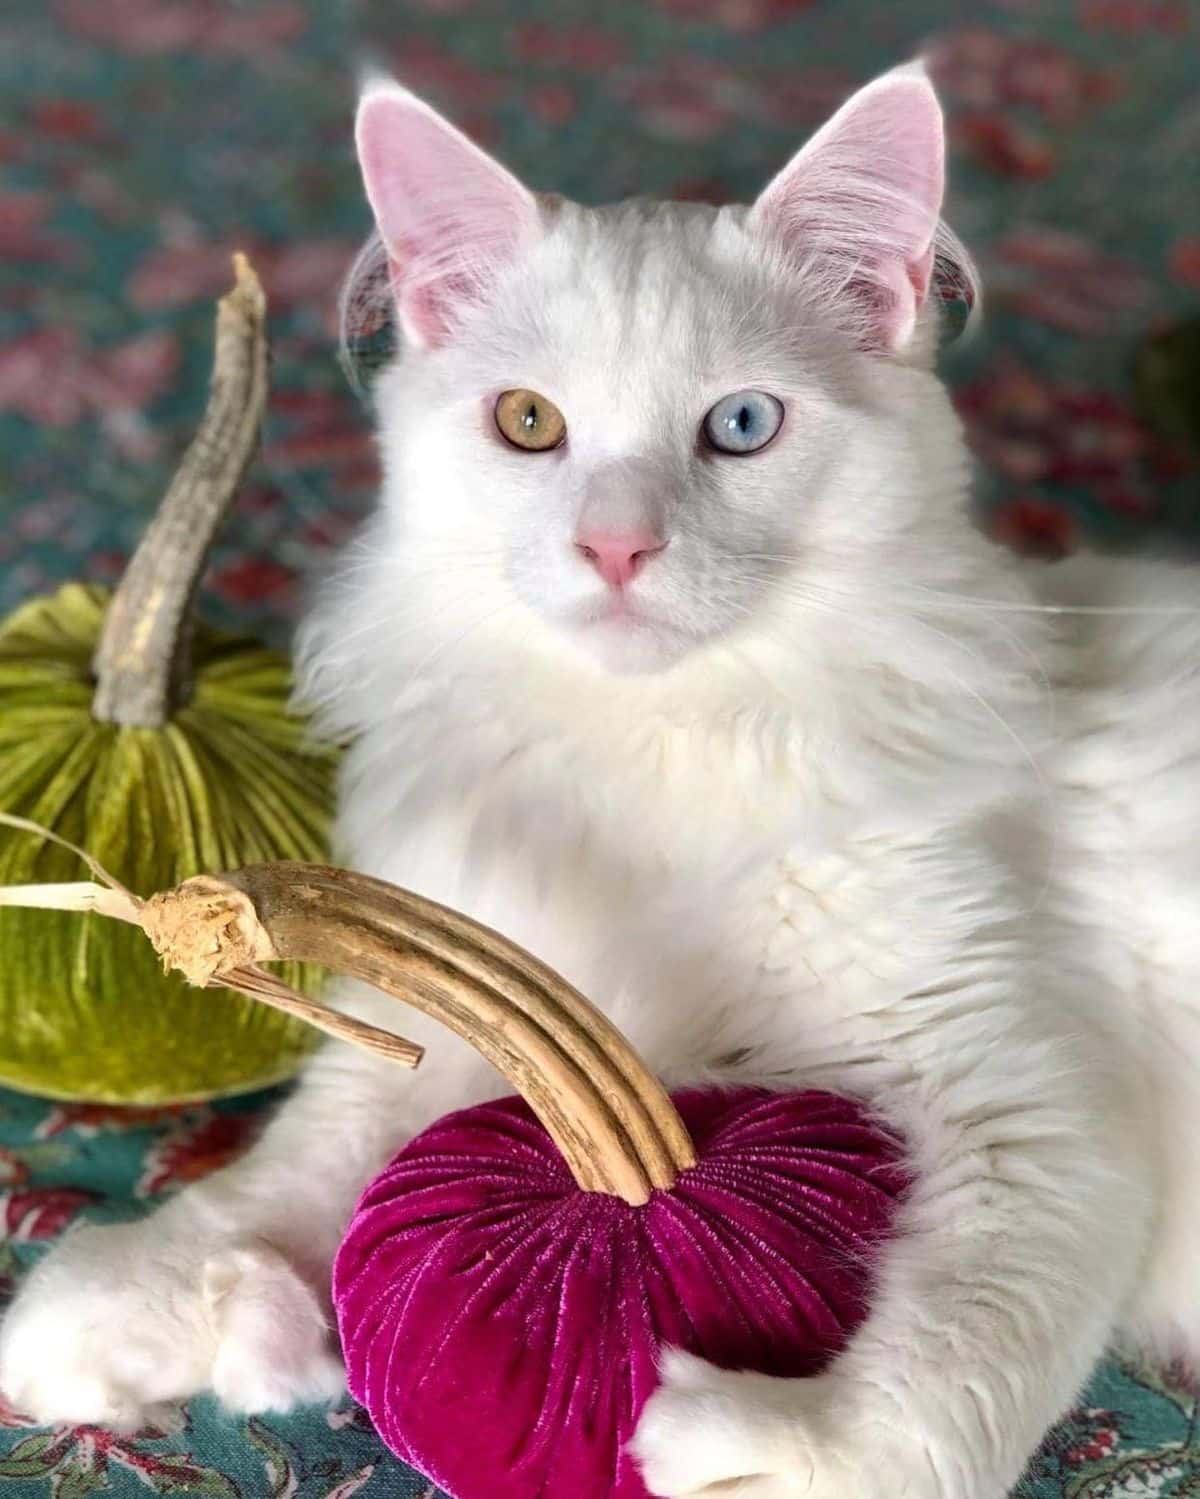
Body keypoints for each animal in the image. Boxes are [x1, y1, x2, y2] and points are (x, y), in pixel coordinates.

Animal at [4, 61, 1192, 1499]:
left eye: (742, 426)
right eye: (530, 425)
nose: (617, 547)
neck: (655, 748)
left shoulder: (1033, 1108)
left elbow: (938, 1378)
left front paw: (754, 1442)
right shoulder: (481, 981)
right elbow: (290, 1161)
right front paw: (139, 1295)